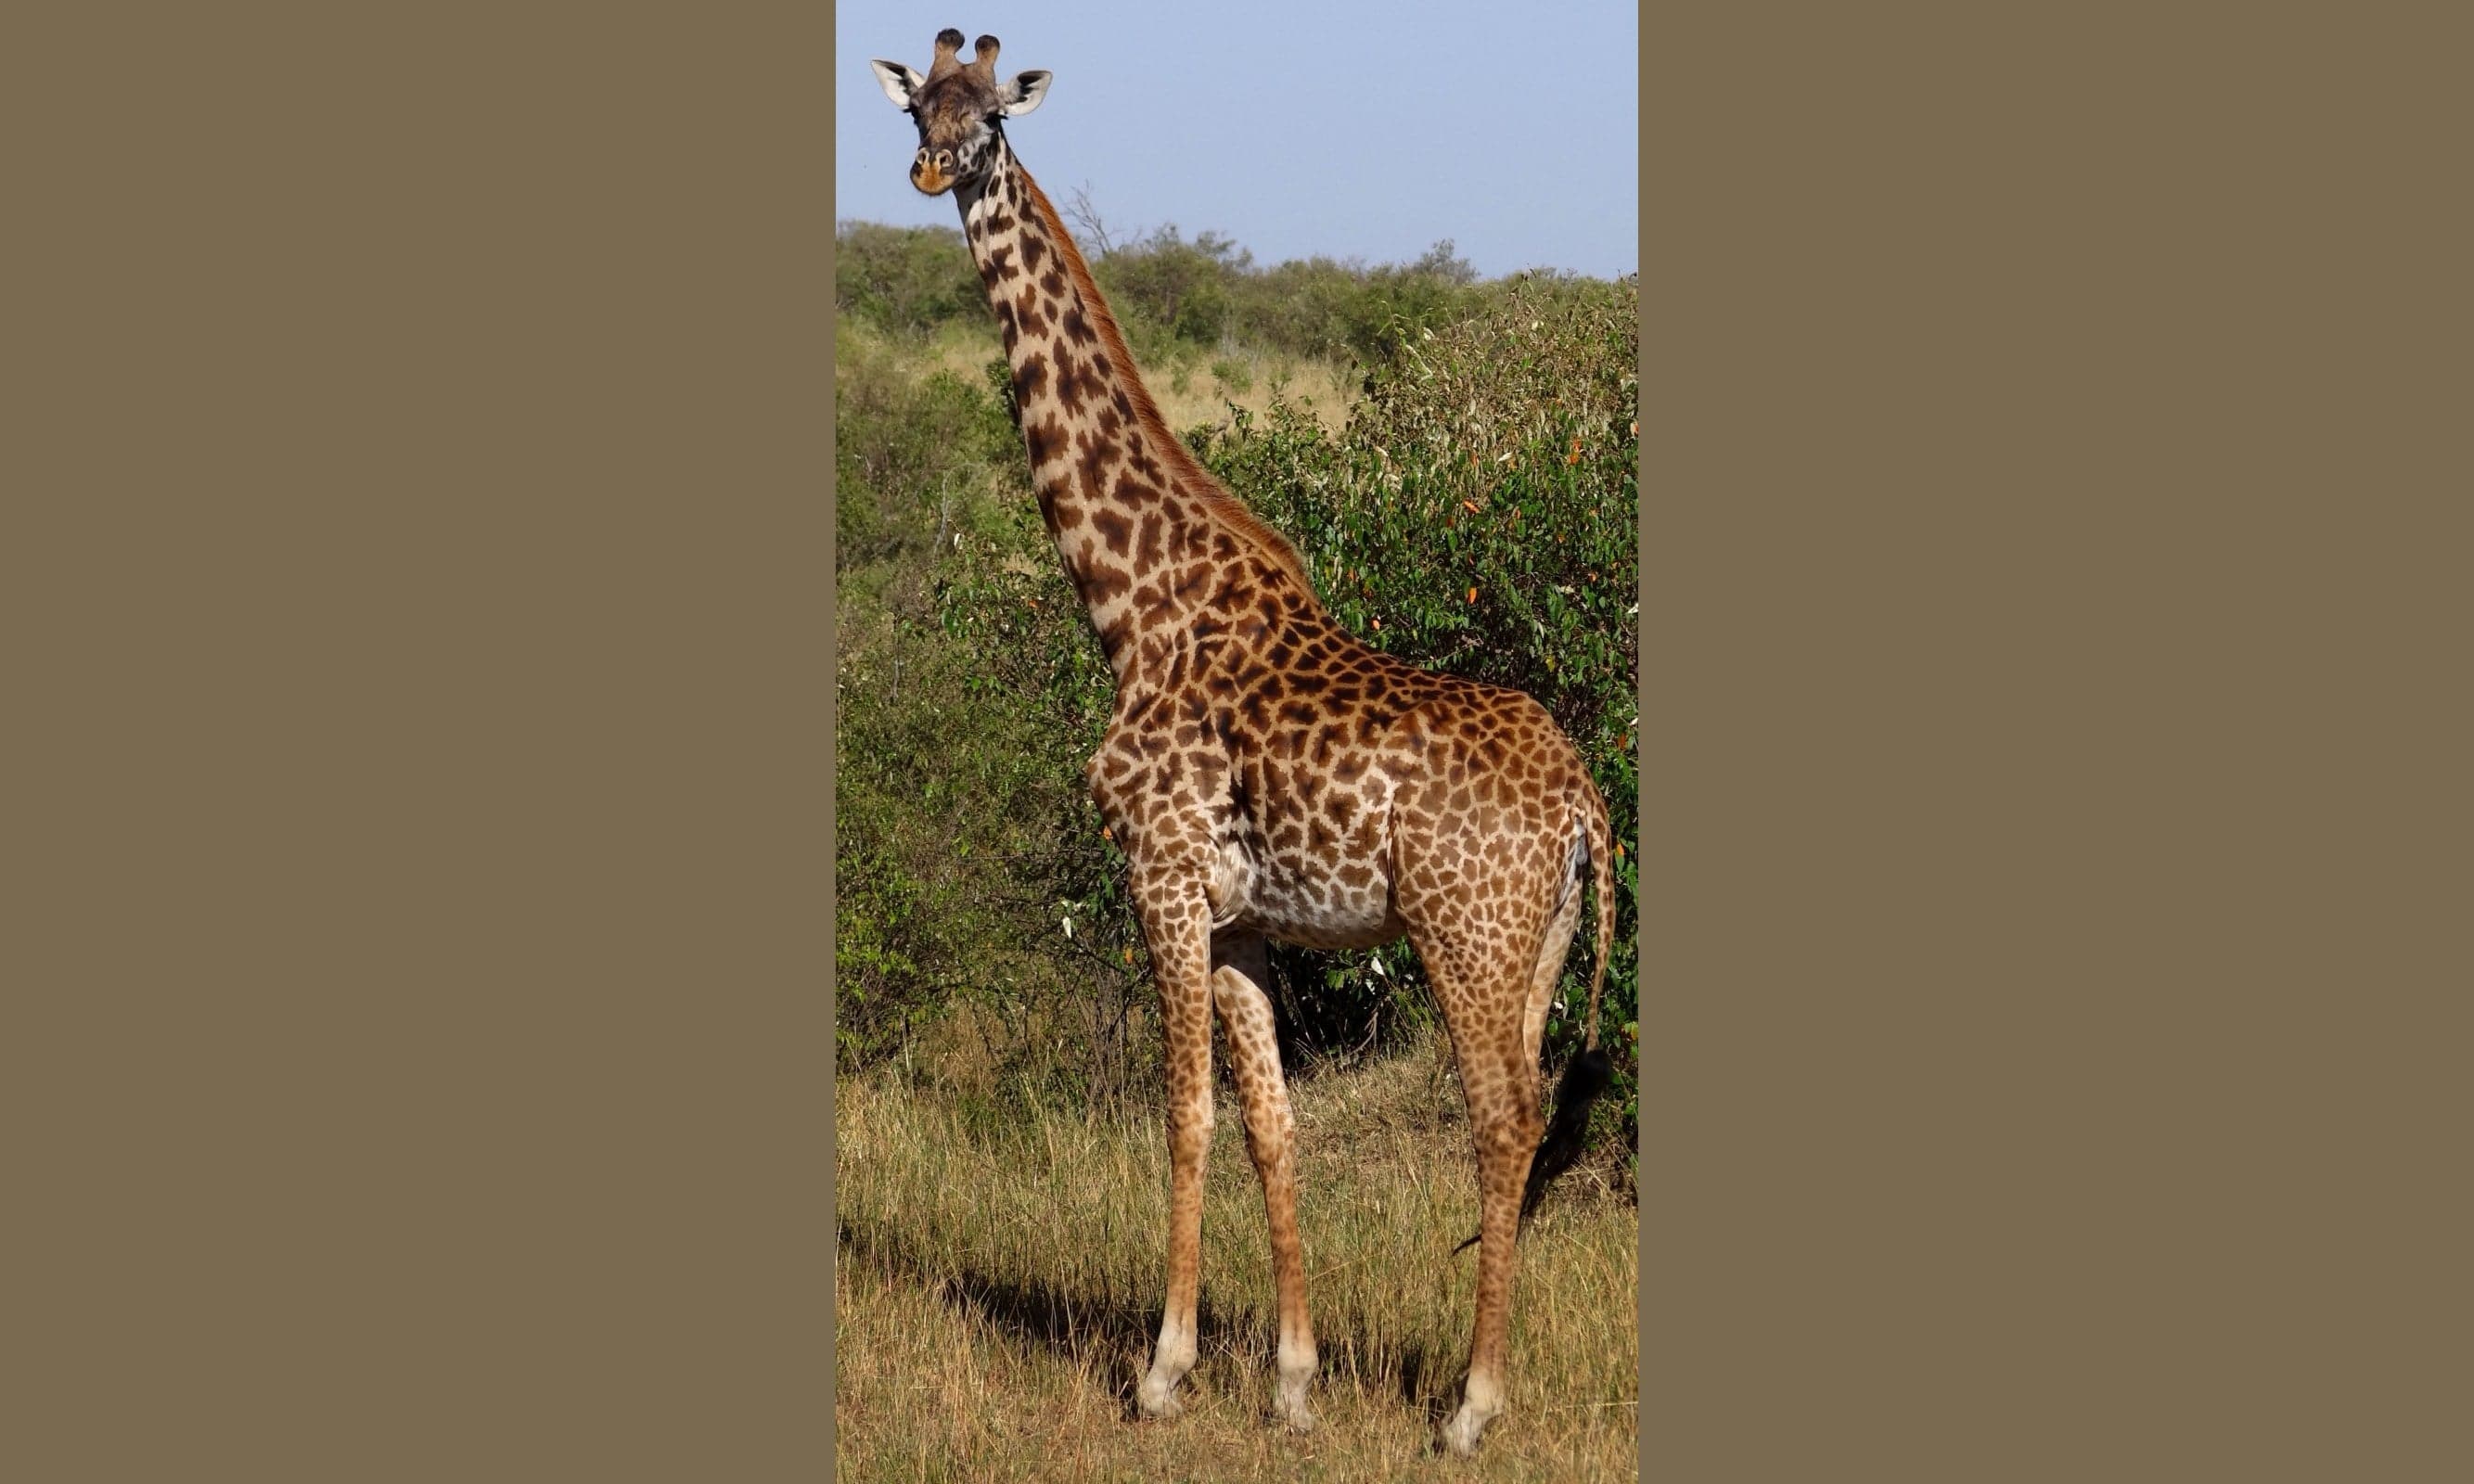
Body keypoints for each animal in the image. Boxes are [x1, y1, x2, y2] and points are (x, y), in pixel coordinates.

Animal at [871, 31, 1622, 1456]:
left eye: (992, 115)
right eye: (919, 105)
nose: (933, 168)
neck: (1131, 605)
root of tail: (1583, 806)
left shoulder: (1158, 878)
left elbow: (1184, 1114)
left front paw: (1161, 1372)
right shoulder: (1243, 921)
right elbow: (1273, 1125)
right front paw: (1290, 1383)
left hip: (1464, 938)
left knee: (1501, 1120)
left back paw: (1469, 1407)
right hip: (1539, 949)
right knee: (1531, 1111)